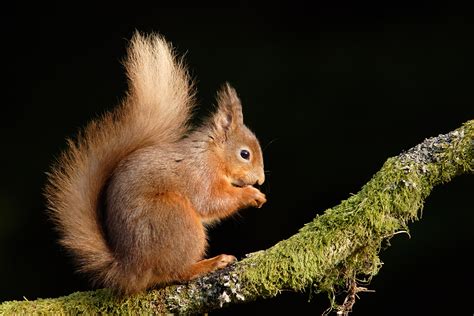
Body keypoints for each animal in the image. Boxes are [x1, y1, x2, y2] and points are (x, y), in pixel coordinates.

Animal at [43, 33, 266, 296]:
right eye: (245, 154)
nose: (261, 179)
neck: (210, 153)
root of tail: (130, 268)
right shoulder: (199, 175)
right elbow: (211, 201)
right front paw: (250, 194)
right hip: (175, 218)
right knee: (176, 272)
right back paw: (208, 264)